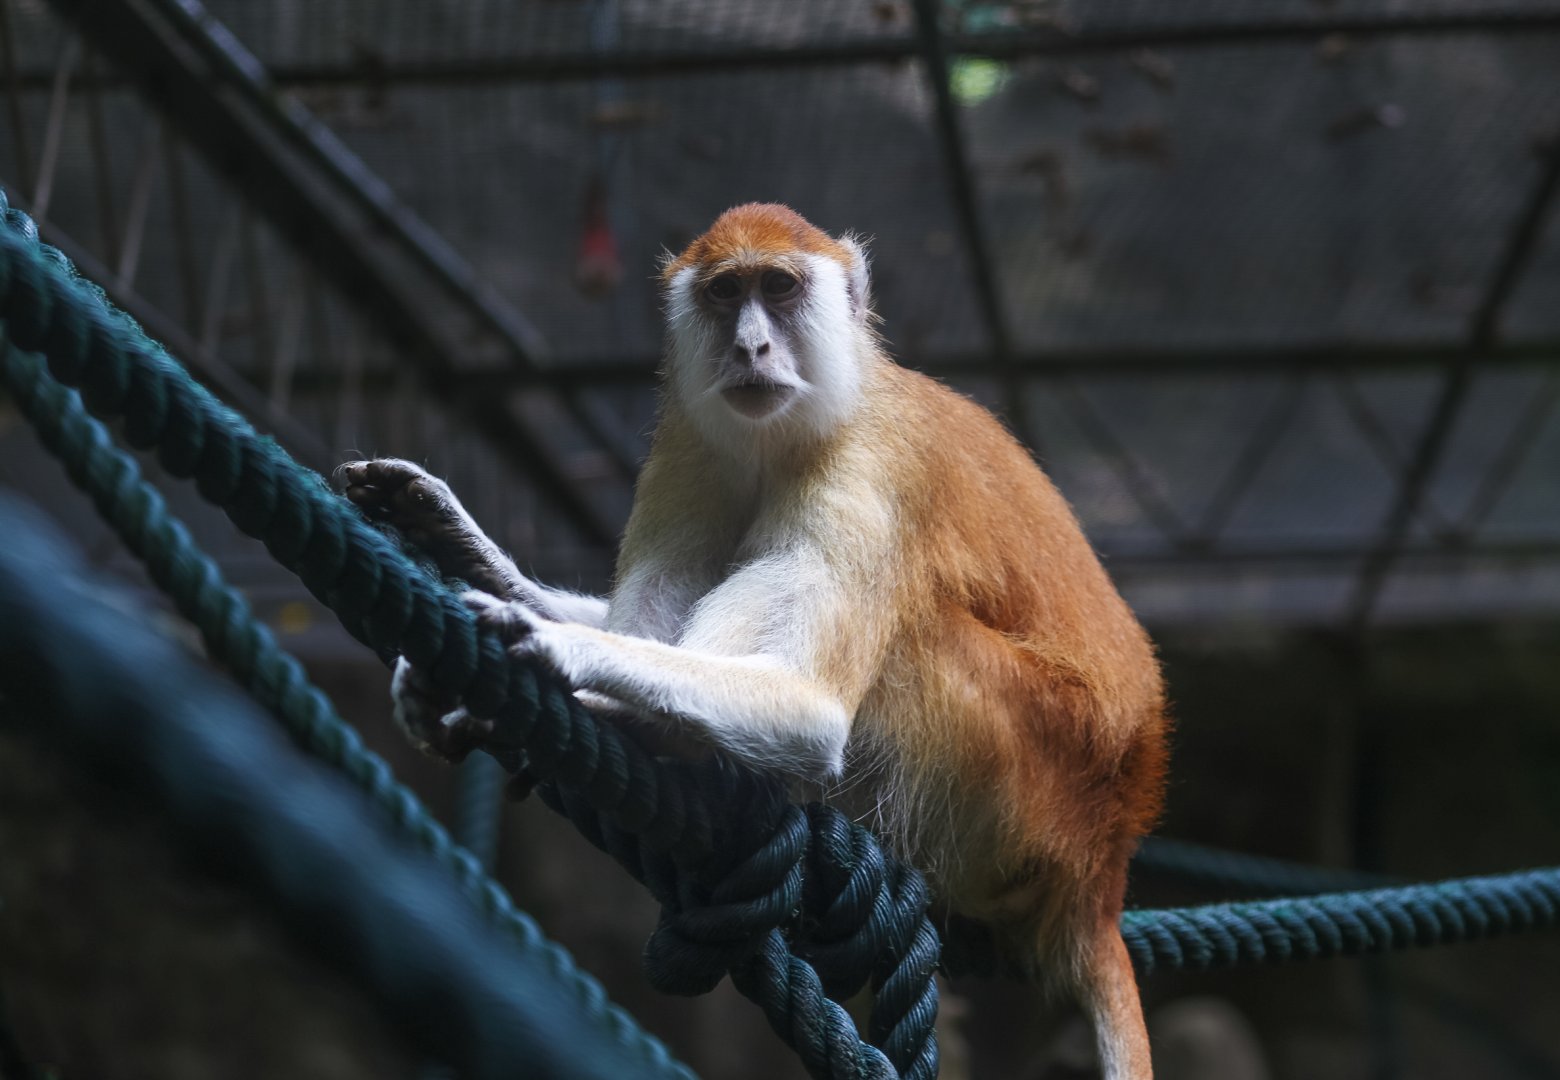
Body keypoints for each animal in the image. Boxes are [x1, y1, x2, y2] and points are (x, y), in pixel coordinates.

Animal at [340, 203, 1168, 1079]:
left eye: (779, 288)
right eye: (724, 293)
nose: (750, 348)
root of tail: (1102, 868)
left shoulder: (869, 475)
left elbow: (810, 713)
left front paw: (568, 656)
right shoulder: (690, 445)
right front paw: (461, 547)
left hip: (1025, 775)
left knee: (906, 637)